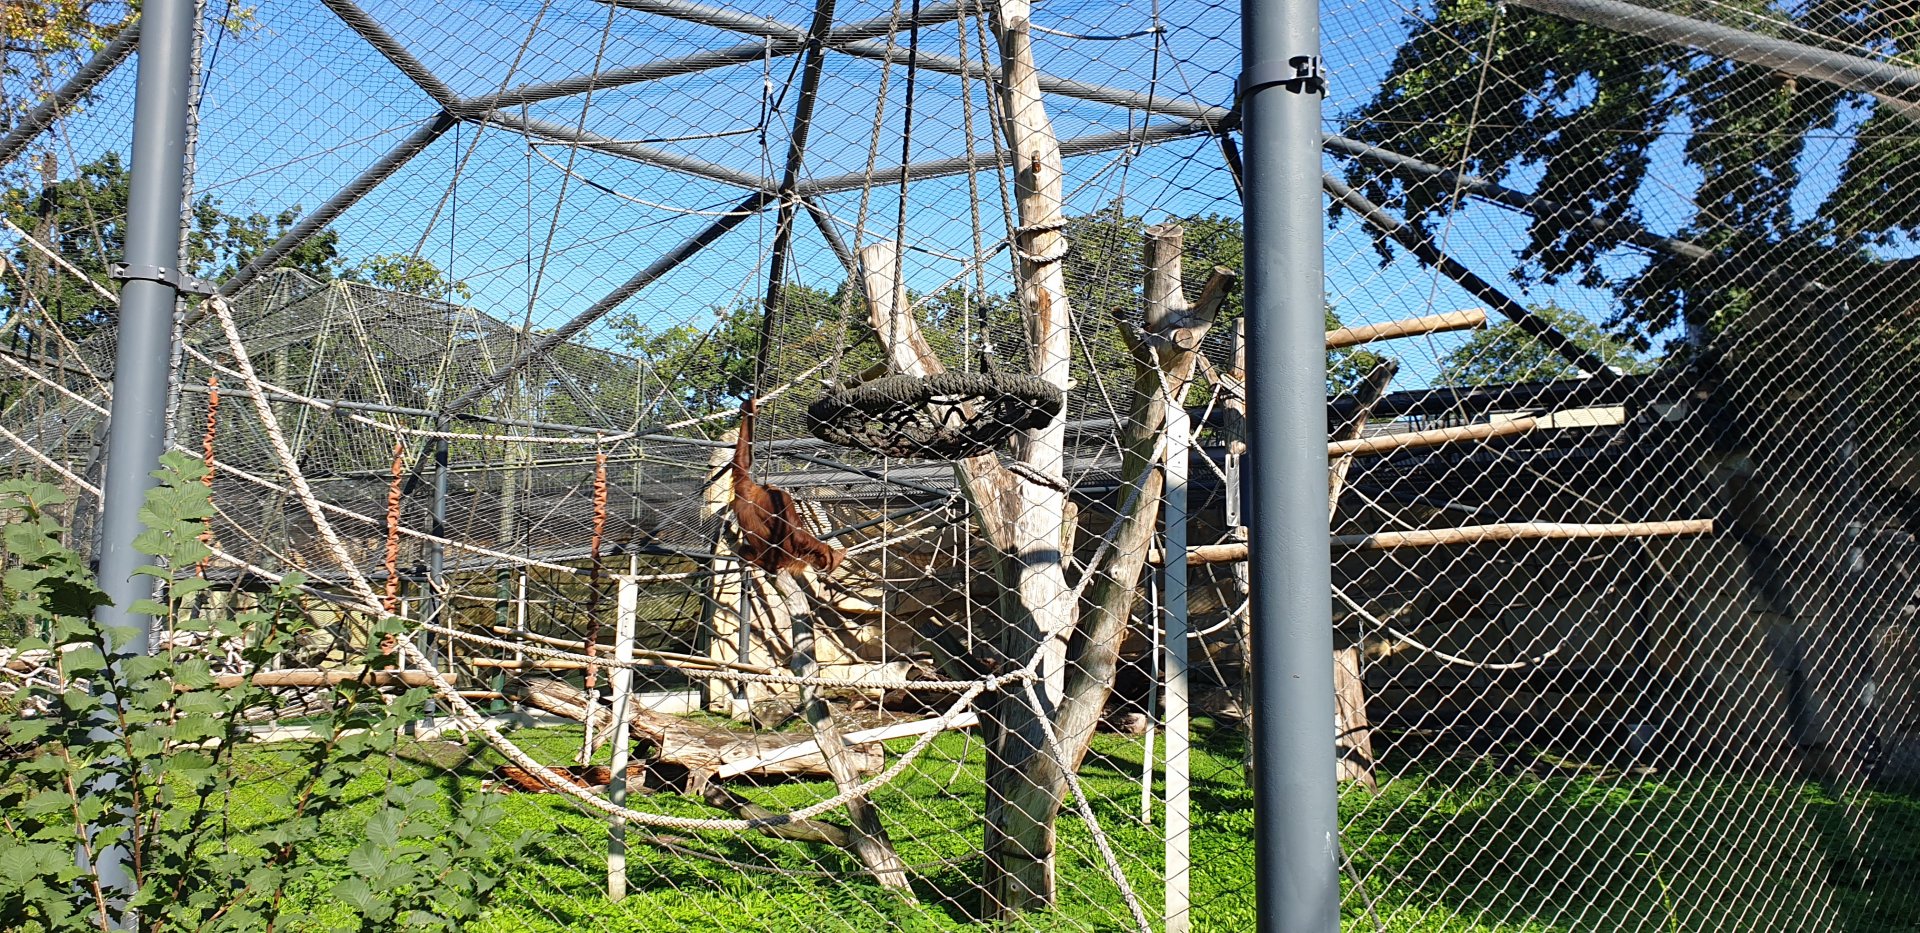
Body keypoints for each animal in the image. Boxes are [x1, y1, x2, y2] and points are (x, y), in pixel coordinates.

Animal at [728, 396, 844, 578]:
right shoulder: (779, 496)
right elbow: (797, 534)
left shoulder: (743, 485)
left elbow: (741, 461)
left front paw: (749, 409)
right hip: (792, 556)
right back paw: (832, 557)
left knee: (745, 551)